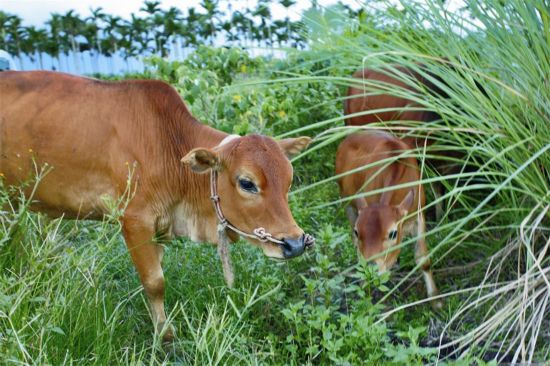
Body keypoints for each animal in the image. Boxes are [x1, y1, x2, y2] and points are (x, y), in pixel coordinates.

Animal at [336, 132, 444, 308]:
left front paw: (436, 299)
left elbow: (423, 259)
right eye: (358, 232)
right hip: (346, 202)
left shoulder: (419, 216)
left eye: (392, 233)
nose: (370, 268)